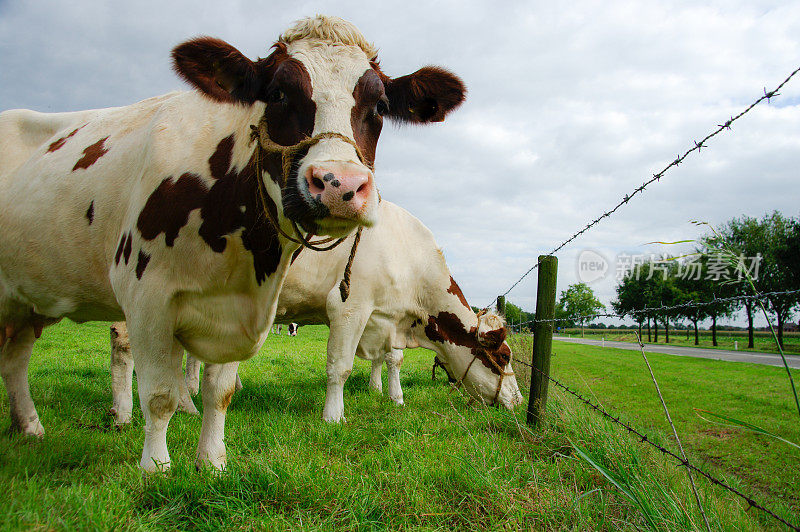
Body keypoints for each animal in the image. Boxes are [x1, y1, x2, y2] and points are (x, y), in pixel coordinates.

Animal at [0, 14, 462, 470]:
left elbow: (219, 391)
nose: (340, 185)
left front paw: (212, 462)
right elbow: (160, 395)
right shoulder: (147, 296)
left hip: (25, 303)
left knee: (15, 358)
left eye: (380, 106)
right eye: (277, 93)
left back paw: (30, 427)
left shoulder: (244, 300)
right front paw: (156, 468)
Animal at [111, 202, 524, 422]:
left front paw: (393, 397)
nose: (519, 401)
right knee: (126, 347)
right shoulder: (350, 306)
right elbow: (340, 366)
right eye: (503, 356)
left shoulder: (388, 317)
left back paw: (187, 404)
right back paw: (125, 413)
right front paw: (333, 416)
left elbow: (392, 360)